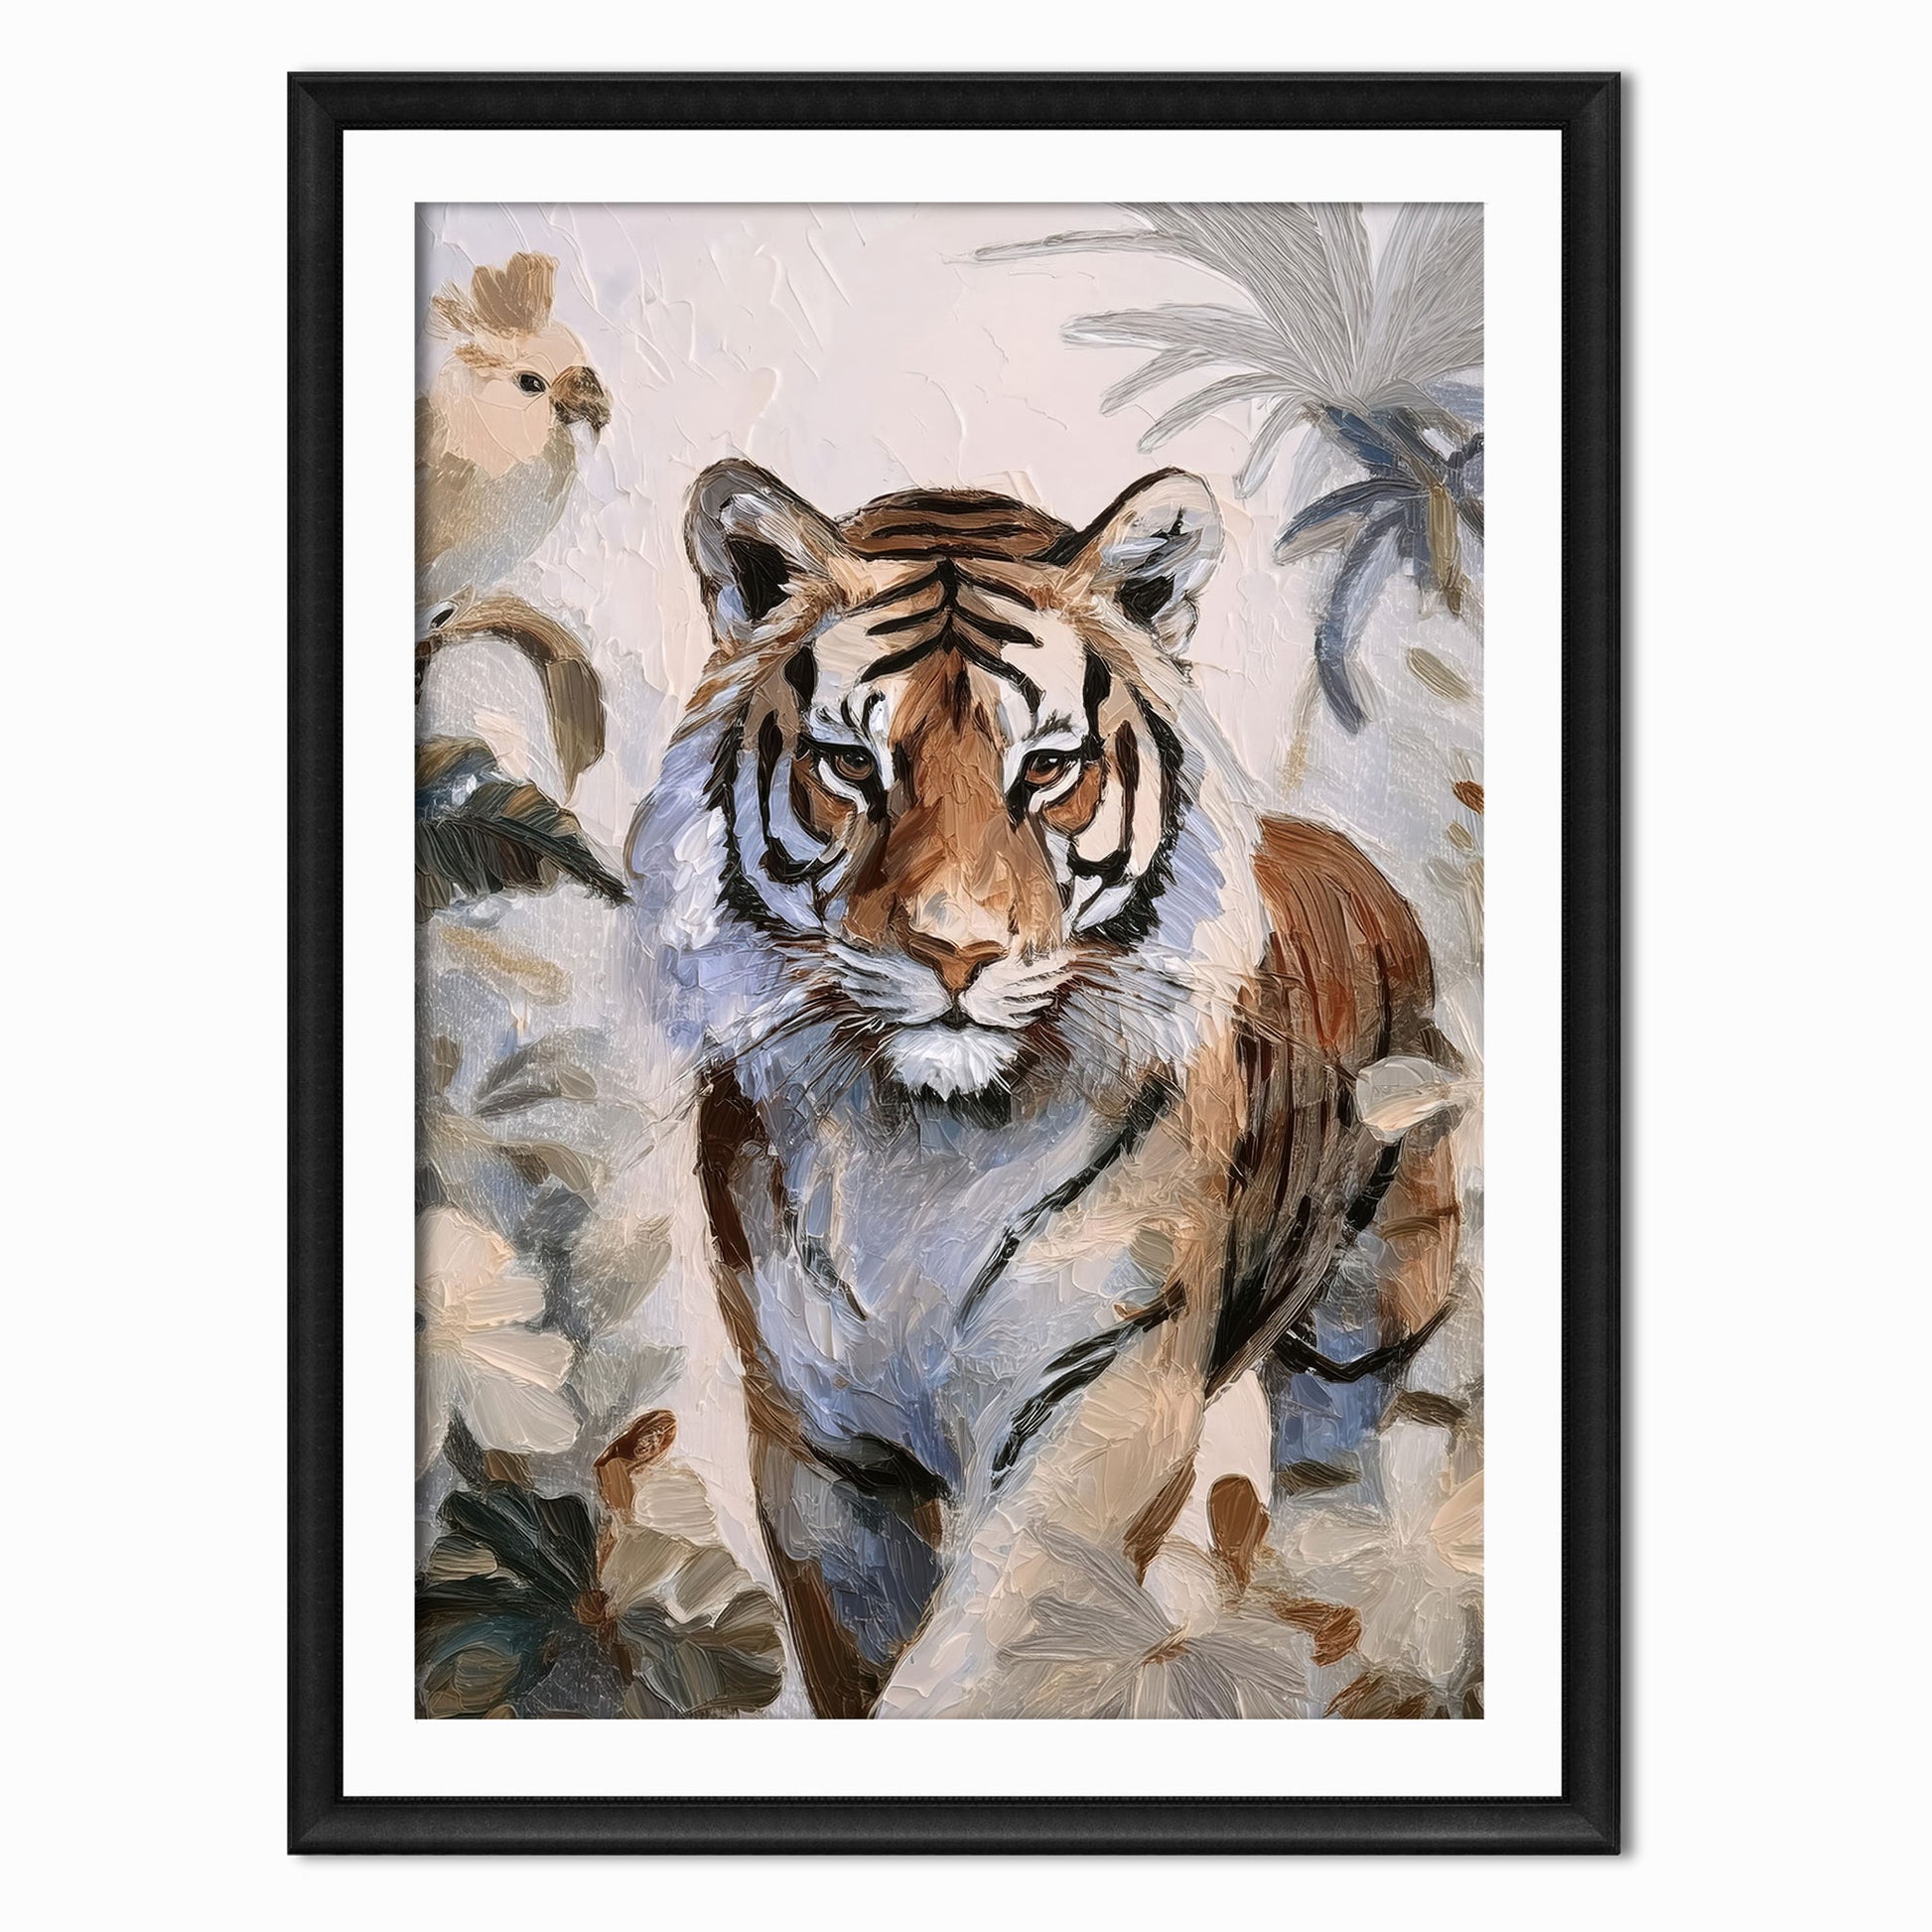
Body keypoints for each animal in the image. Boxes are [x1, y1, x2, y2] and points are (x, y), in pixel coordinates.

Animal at [627, 459, 1462, 1718]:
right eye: (852, 764)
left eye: (1047, 768)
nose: (955, 950)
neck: (925, 1144)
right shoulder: (818, 1440)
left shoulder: (1101, 1392)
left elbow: (984, 1654)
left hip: (1375, 1325)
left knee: (1356, 1485)